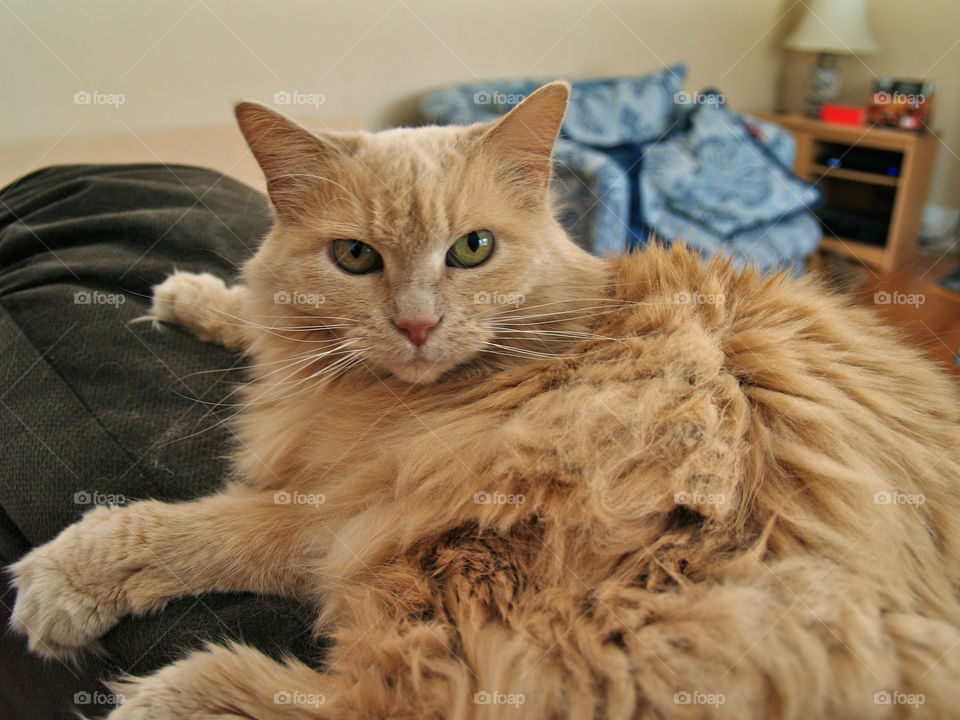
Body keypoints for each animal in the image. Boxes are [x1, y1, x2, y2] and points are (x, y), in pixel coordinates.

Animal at [7, 81, 960, 716]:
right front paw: (201, 297)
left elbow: (191, 529)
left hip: (465, 575)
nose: (417, 325)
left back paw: (173, 692)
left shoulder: (343, 505)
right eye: (355, 258)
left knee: (394, 697)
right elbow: (259, 320)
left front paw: (69, 580)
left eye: (472, 249)